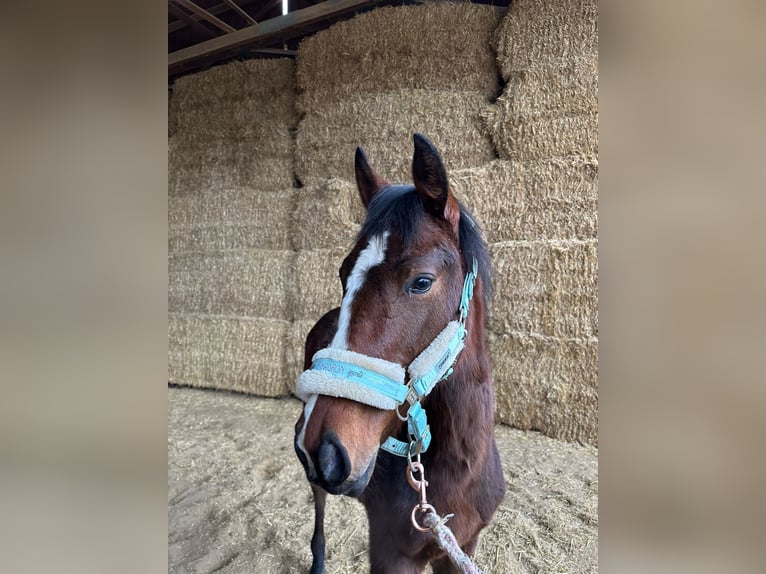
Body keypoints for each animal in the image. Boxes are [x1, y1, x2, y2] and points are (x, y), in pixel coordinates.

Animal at [293, 133, 505, 573]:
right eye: (343, 273)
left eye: (421, 281)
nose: (324, 450)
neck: (459, 470)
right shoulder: (392, 555)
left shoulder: (461, 548)